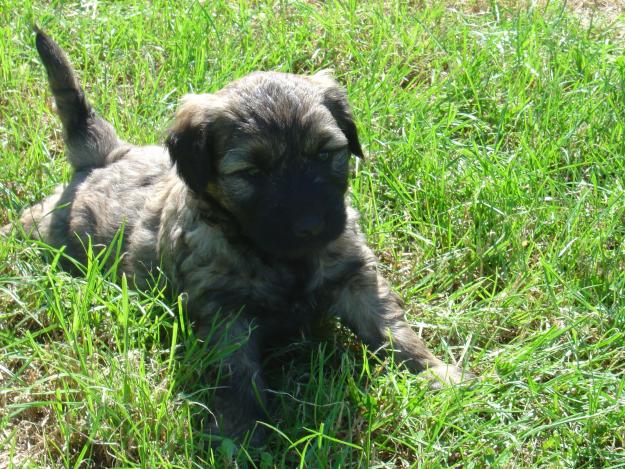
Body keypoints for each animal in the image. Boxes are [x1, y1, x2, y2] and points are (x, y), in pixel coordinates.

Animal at [7, 28, 470, 442]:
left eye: (326, 154)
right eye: (252, 172)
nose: (311, 226)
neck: (276, 257)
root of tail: (104, 158)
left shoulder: (355, 276)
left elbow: (391, 328)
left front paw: (435, 373)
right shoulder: (225, 314)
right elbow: (237, 374)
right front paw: (241, 432)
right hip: (47, 231)